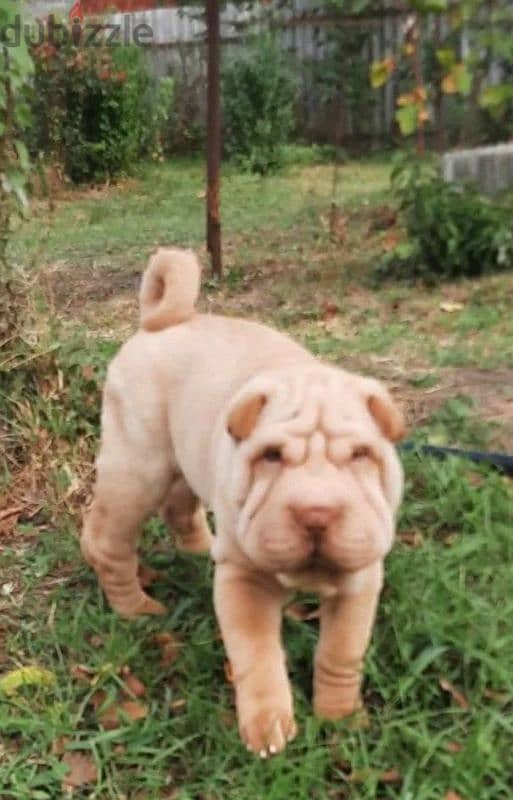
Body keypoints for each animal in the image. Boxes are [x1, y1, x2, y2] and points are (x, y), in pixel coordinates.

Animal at [82, 247, 406, 760]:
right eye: (271, 456)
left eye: (360, 455)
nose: (316, 513)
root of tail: (160, 323)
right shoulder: (244, 582)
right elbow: (258, 657)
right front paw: (269, 727)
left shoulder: (360, 580)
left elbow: (341, 654)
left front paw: (341, 719)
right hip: (138, 467)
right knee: (108, 540)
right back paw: (135, 607)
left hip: (183, 460)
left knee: (179, 507)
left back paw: (199, 553)